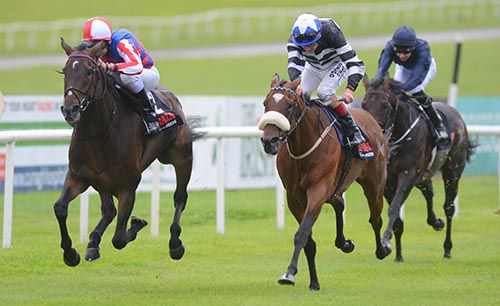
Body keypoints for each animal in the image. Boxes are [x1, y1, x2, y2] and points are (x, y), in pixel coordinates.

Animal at [55, 38, 203, 266]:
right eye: (65, 71)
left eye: (89, 71)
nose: (70, 109)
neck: (99, 131)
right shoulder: (78, 176)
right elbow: (60, 208)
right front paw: (71, 253)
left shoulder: (128, 186)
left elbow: (118, 238)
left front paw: (137, 223)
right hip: (101, 180)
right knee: (109, 211)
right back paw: (92, 243)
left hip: (181, 157)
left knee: (180, 198)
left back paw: (175, 244)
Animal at [258, 74, 390, 290]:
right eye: (265, 103)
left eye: (289, 105)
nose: (269, 141)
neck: (304, 145)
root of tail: (372, 120)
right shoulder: (295, 198)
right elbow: (308, 242)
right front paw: (313, 282)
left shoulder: (318, 189)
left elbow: (301, 234)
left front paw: (289, 273)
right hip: (335, 187)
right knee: (340, 203)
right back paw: (344, 243)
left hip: (374, 183)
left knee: (375, 218)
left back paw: (382, 250)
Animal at [360, 74, 476, 260]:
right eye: (363, 105)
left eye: (385, 105)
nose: (372, 131)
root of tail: (457, 115)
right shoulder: (387, 182)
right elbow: (397, 218)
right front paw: (398, 255)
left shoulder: (408, 174)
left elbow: (394, 209)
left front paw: (385, 241)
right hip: (423, 175)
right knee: (429, 192)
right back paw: (435, 221)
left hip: (452, 171)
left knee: (449, 207)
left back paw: (447, 248)